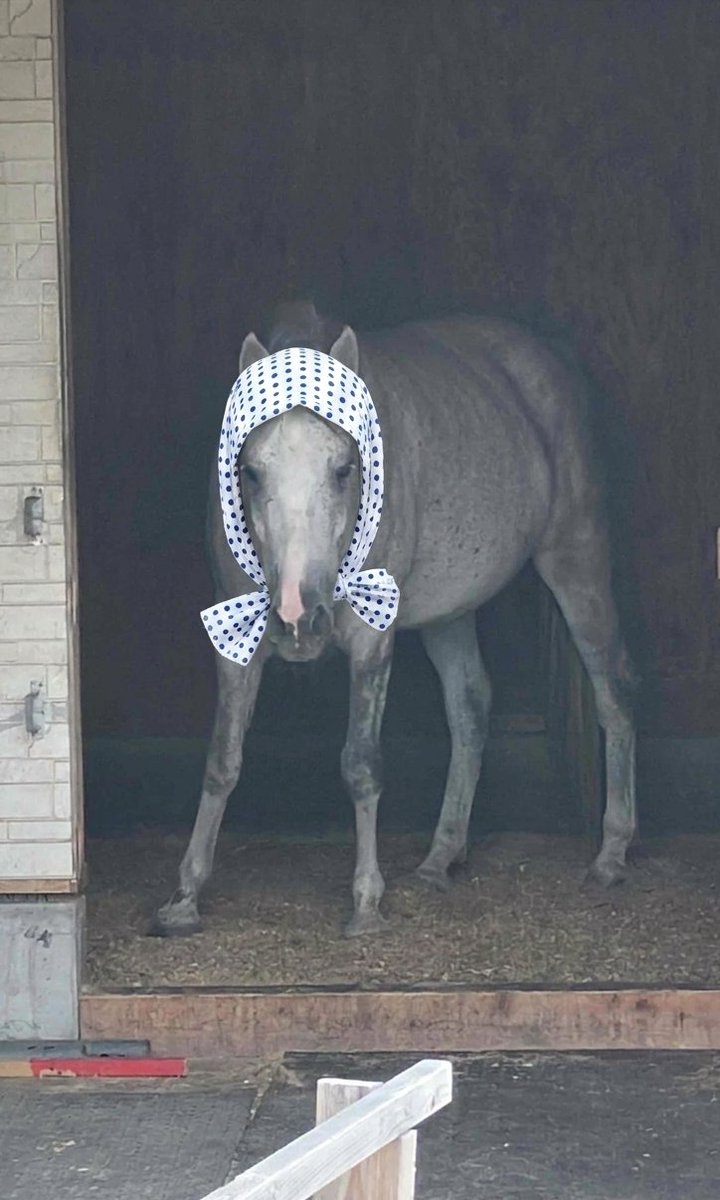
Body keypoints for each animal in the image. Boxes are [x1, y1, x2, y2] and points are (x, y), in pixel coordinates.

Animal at [154, 300, 636, 938]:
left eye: (344, 468)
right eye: (250, 471)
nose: (297, 617)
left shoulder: (370, 642)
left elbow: (360, 763)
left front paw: (366, 902)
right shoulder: (235, 640)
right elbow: (221, 760)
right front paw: (185, 895)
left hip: (576, 562)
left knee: (614, 689)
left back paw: (612, 854)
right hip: (451, 610)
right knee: (470, 706)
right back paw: (439, 858)